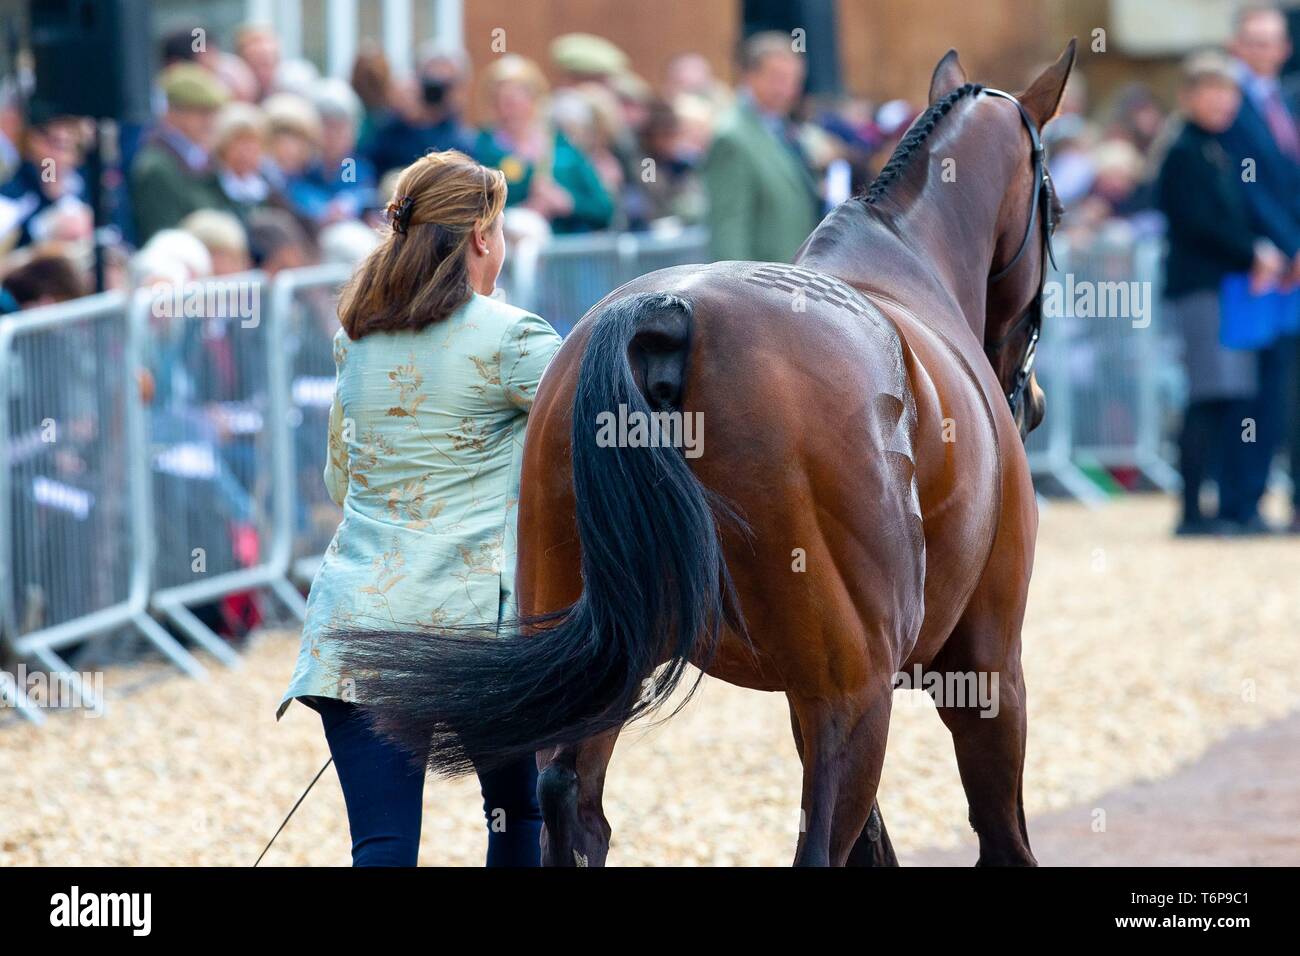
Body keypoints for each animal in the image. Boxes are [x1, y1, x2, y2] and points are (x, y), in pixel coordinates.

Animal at [339, 41, 1076, 867]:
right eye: (1055, 208)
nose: (1032, 399)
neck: (905, 268)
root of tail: (664, 313)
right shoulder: (985, 667)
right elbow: (1000, 835)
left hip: (603, 662)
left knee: (571, 803)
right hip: (851, 697)